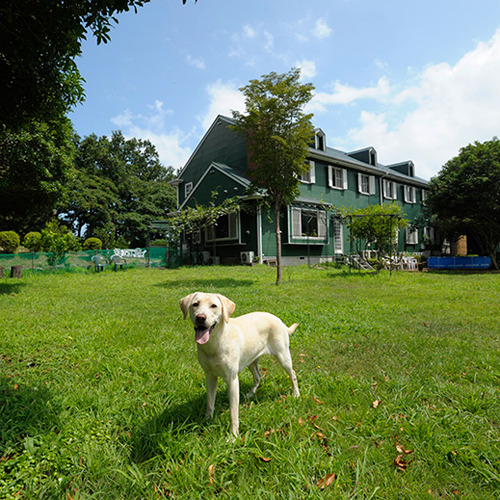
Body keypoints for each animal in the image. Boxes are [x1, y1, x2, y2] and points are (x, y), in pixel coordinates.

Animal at [182, 292, 302, 436]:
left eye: (214, 306)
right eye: (195, 304)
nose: (200, 317)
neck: (215, 343)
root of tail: (280, 321)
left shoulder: (232, 380)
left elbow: (233, 413)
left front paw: (233, 436)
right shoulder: (210, 376)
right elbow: (210, 402)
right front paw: (206, 420)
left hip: (282, 356)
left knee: (292, 374)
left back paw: (296, 394)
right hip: (251, 360)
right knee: (258, 376)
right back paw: (251, 393)